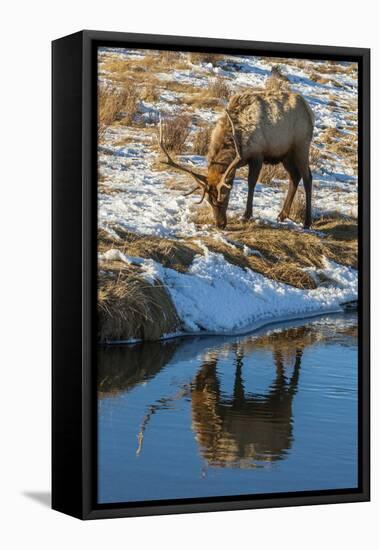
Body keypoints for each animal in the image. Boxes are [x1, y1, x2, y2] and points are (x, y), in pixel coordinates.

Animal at [159, 81, 316, 230]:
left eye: (224, 198)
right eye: (209, 201)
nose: (220, 224)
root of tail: (309, 109)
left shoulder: (257, 154)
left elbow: (251, 182)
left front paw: (246, 215)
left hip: (301, 145)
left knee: (307, 177)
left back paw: (307, 222)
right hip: (285, 154)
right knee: (294, 176)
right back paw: (282, 215)